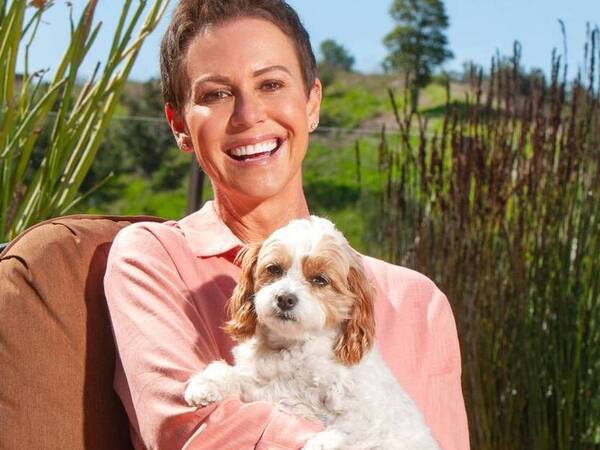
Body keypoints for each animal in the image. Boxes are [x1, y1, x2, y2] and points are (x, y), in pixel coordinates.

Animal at [185, 216, 438, 448]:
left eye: (320, 280)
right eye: (274, 269)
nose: (285, 298)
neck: (293, 347)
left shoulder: (368, 414)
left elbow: (351, 430)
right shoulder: (259, 388)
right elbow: (226, 372)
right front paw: (204, 385)